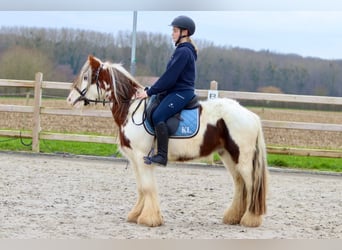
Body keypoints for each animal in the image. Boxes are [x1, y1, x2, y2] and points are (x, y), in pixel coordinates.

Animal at [67, 55, 268, 228]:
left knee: (251, 185)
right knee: (240, 184)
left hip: (243, 159)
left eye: (86, 77)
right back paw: (233, 217)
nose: (69, 99)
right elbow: (141, 188)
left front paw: (149, 219)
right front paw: (136, 215)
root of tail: (251, 115)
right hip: (228, 156)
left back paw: (250, 219)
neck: (132, 109)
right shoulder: (135, 160)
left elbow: (147, 187)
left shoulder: (142, 157)